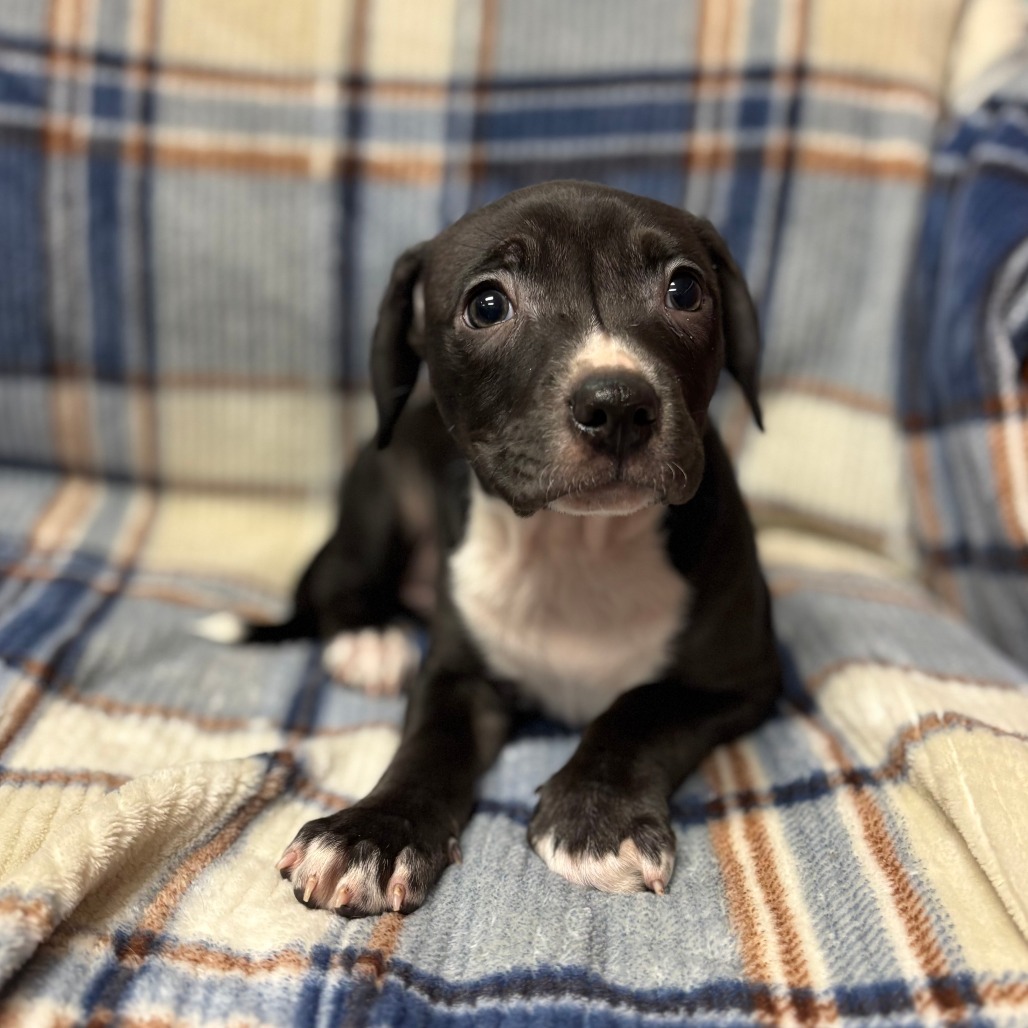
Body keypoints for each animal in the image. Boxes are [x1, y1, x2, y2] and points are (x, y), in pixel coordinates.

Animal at [198, 182, 777, 916]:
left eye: (685, 290)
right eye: (488, 305)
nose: (618, 404)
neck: (576, 545)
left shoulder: (739, 679)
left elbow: (641, 709)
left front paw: (596, 816)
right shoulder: (458, 674)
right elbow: (428, 744)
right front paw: (371, 833)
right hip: (380, 491)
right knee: (339, 584)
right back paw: (369, 640)